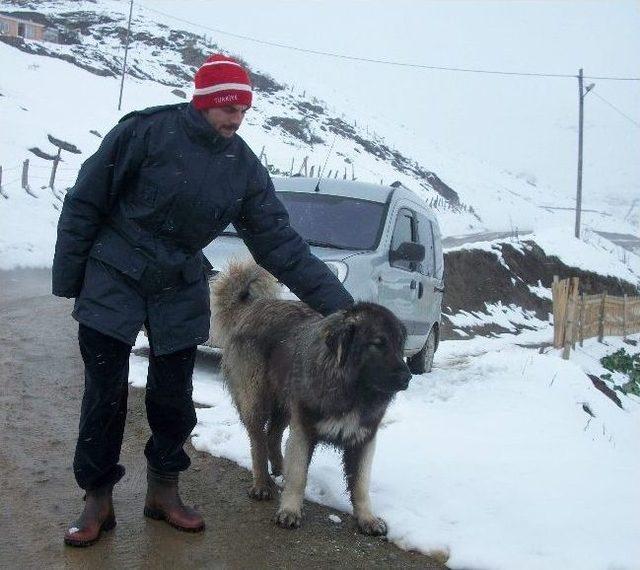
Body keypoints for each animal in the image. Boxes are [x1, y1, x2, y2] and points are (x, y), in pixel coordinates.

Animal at [212, 260, 412, 536]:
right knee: (258, 440)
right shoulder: (304, 429)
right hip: (256, 400)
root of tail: (252, 308)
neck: (350, 389)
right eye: (377, 343)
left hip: (285, 404)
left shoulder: (363, 437)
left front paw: (367, 518)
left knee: (273, 435)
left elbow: (361, 484)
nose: (408, 377)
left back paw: (279, 468)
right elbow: (298, 475)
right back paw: (262, 483)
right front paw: (290, 511)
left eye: (399, 345)